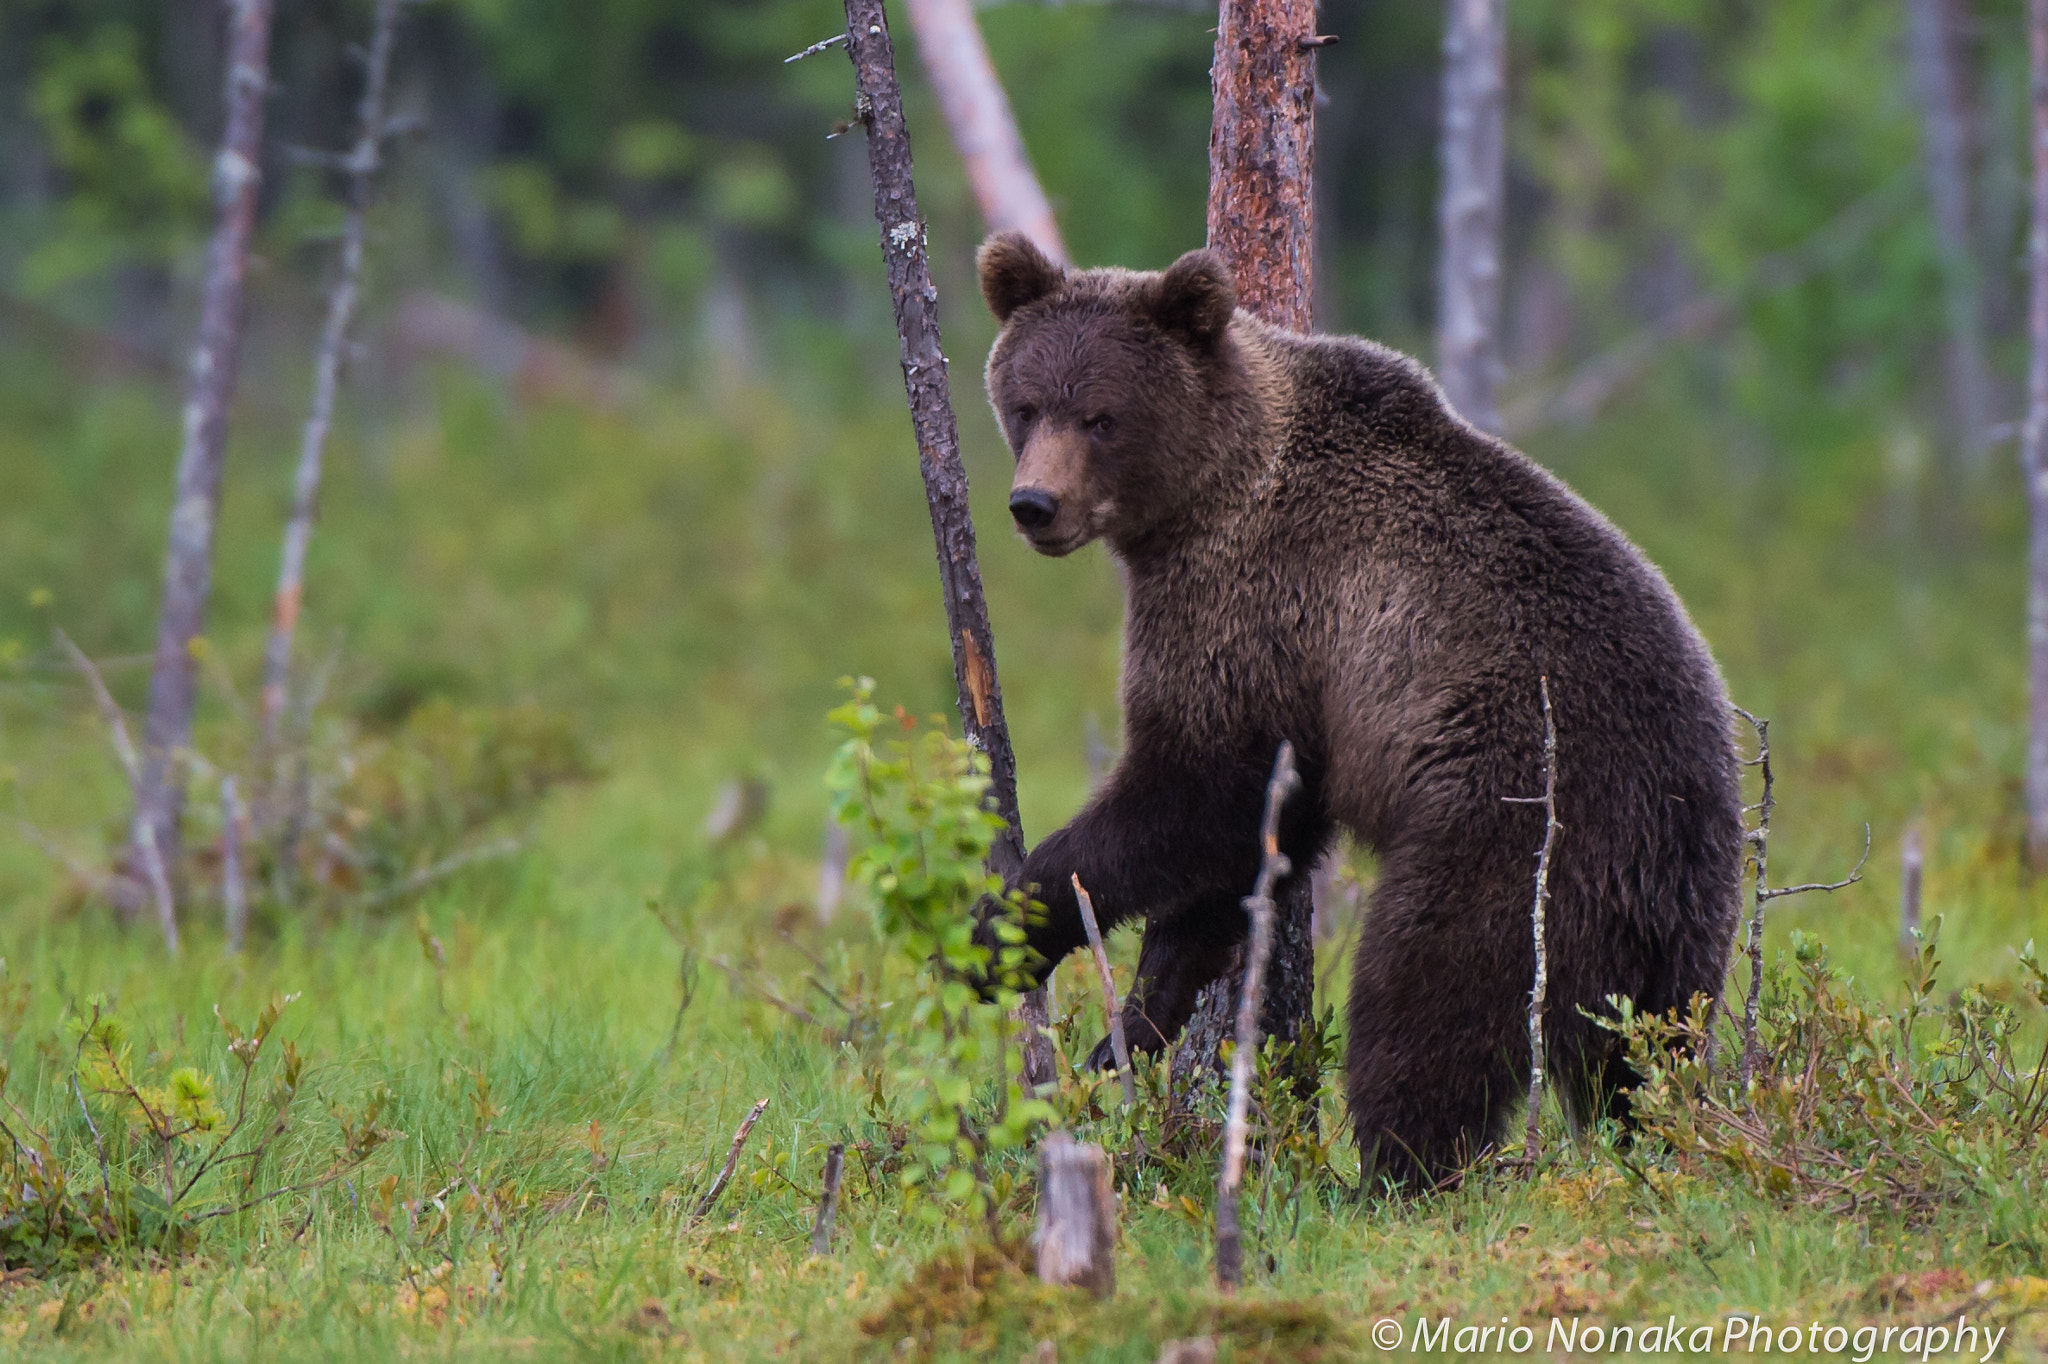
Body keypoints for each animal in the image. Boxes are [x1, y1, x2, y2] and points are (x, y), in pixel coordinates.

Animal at [972, 230, 1744, 1187]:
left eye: (1101, 417)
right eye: (1028, 403)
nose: (1035, 504)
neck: (1204, 497)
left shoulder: (1252, 604)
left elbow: (1194, 790)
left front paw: (1005, 925)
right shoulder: (1297, 679)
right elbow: (1253, 843)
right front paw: (1138, 1021)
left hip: (1518, 830)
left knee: (1426, 998)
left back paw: (1394, 1171)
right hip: (1680, 906)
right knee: (1646, 1049)